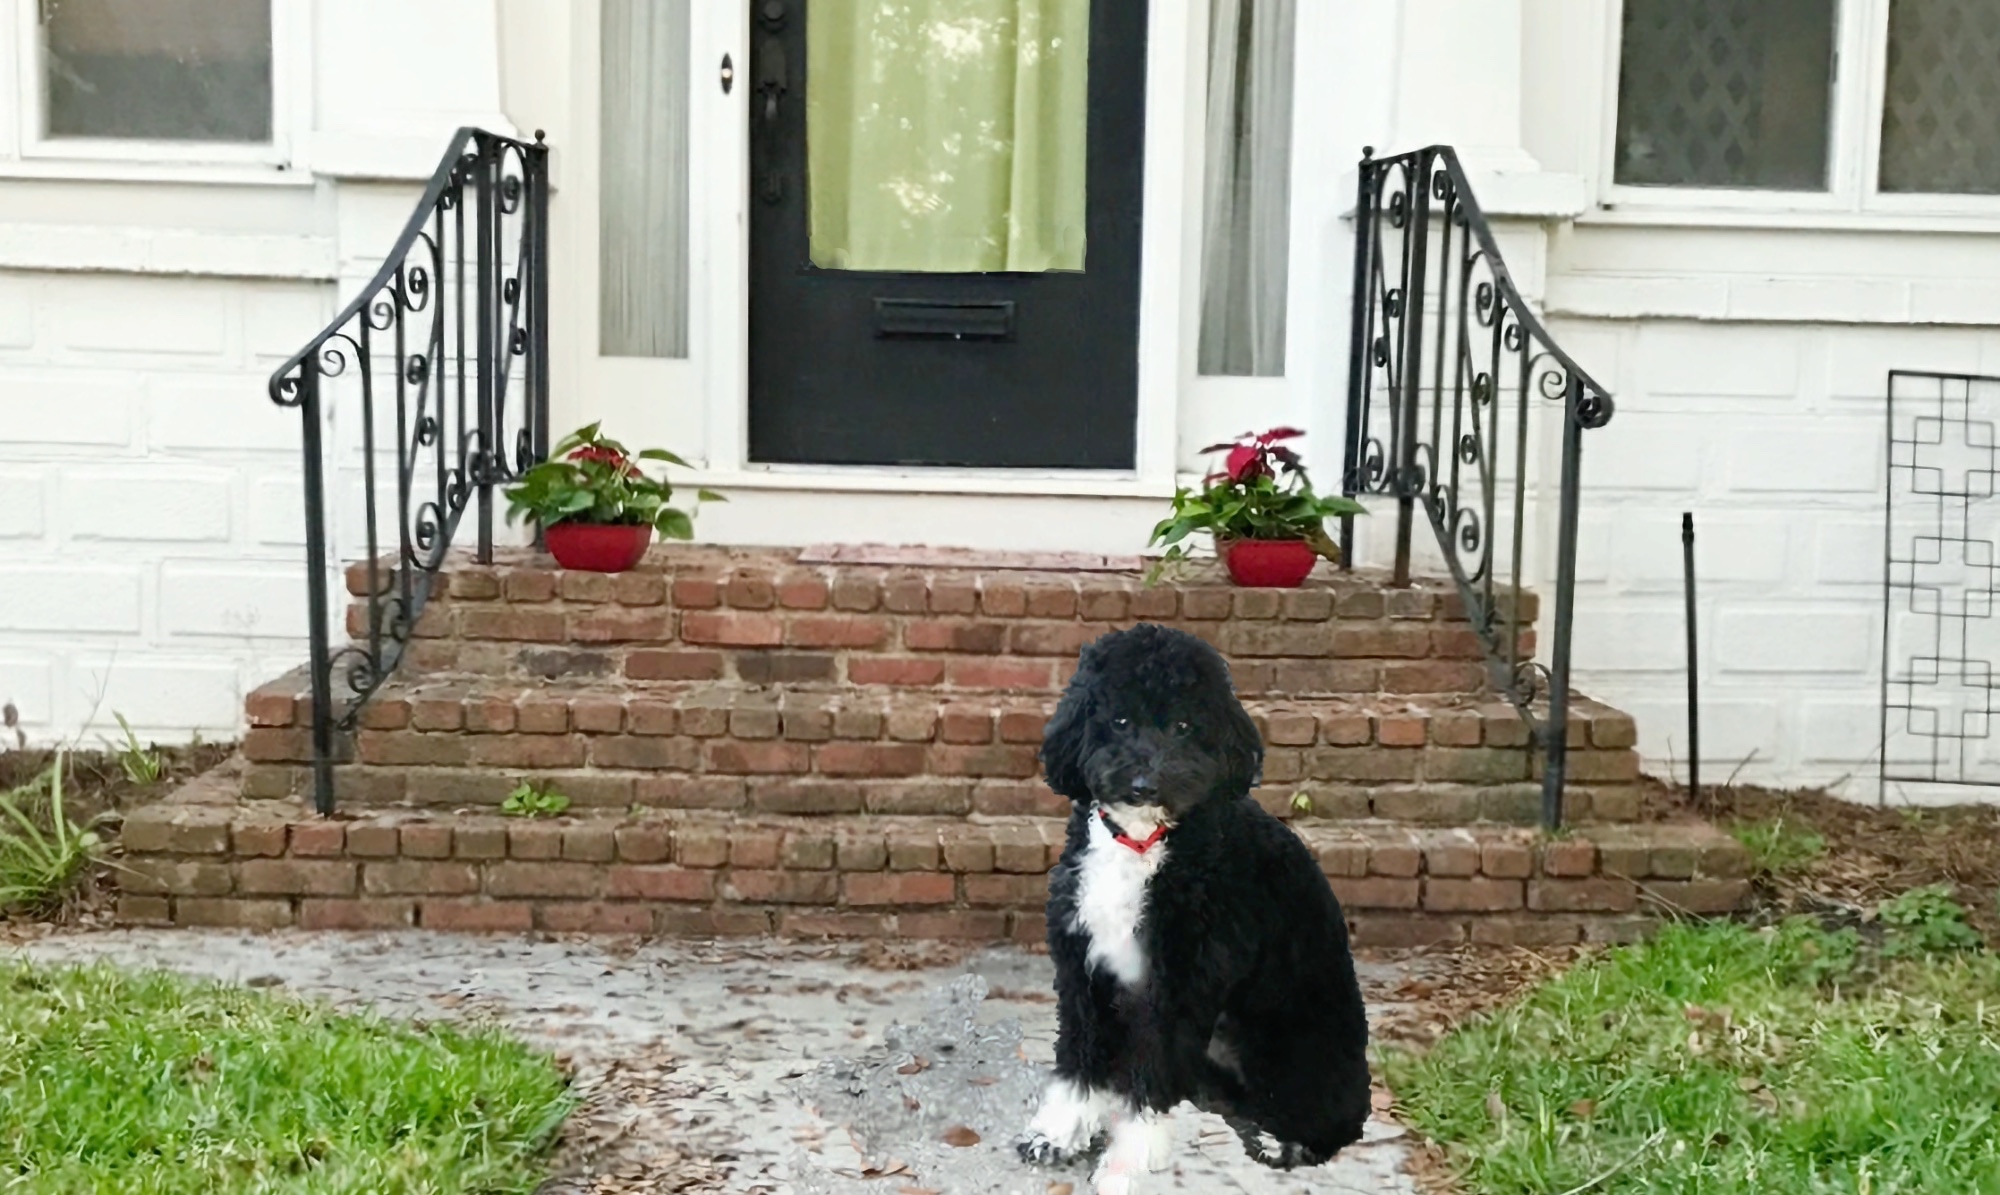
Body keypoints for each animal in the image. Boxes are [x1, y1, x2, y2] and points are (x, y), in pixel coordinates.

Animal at [1024, 627, 1368, 1191]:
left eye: (1185, 725)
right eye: (1119, 720)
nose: (1145, 785)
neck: (1143, 843)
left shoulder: (1181, 985)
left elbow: (1153, 1080)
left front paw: (1129, 1161)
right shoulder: (1083, 968)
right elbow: (1079, 1056)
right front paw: (1060, 1130)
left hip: (1282, 1041)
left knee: (1331, 1118)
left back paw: (1282, 1140)